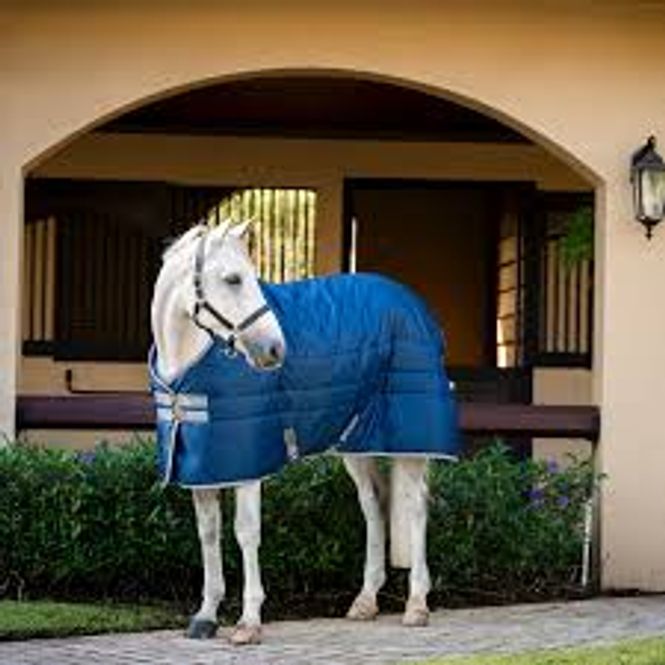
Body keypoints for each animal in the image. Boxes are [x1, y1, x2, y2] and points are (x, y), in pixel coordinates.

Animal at [150, 220, 459, 645]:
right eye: (232, 279)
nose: (274, 350)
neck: (186, 365)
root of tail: (414, 305)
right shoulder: (204, 465)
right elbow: (208, 533)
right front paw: (206, 616)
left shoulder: (248, 463)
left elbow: (246, 532)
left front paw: (249, 622)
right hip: (357, 444)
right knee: (373, 504)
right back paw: (365, 601)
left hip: (409, 443)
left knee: (415, 507)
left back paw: (416, 605)